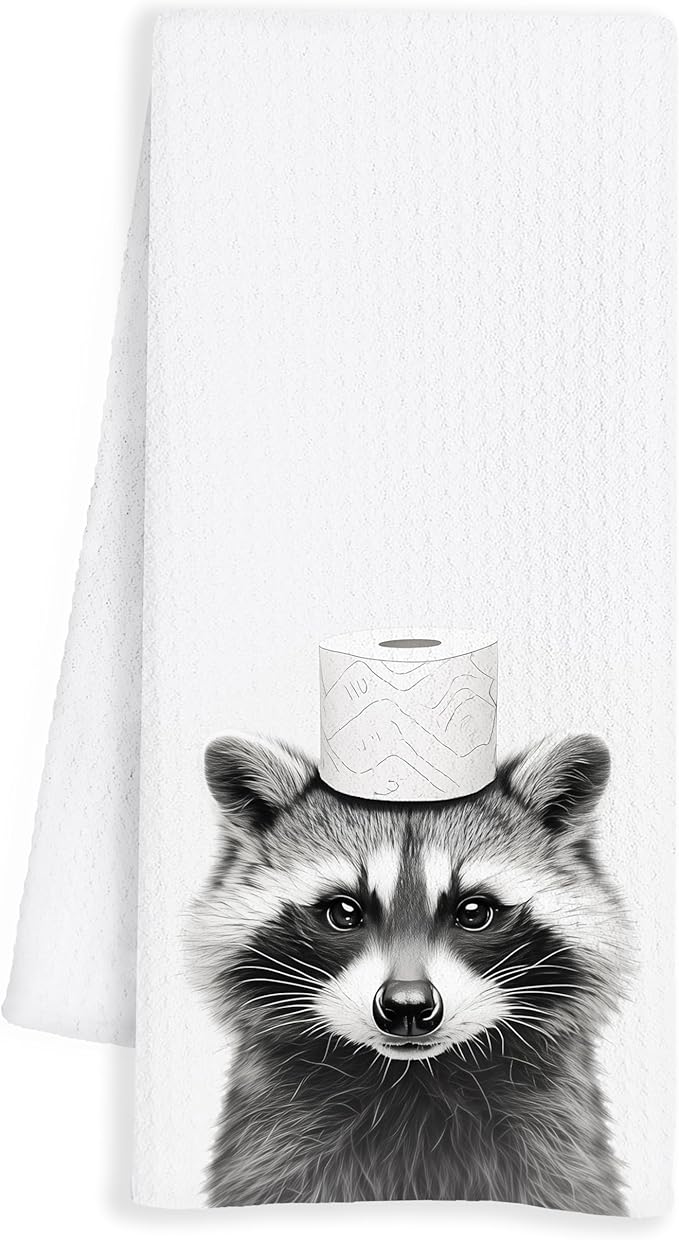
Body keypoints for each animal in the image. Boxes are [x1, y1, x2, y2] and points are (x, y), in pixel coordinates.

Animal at [189, 732, 629, 1212]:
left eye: (473, 912)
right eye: (344, 912)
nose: (407, 1006)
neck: (413, 1079)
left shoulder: (555, 1139)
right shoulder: (273, 1141)